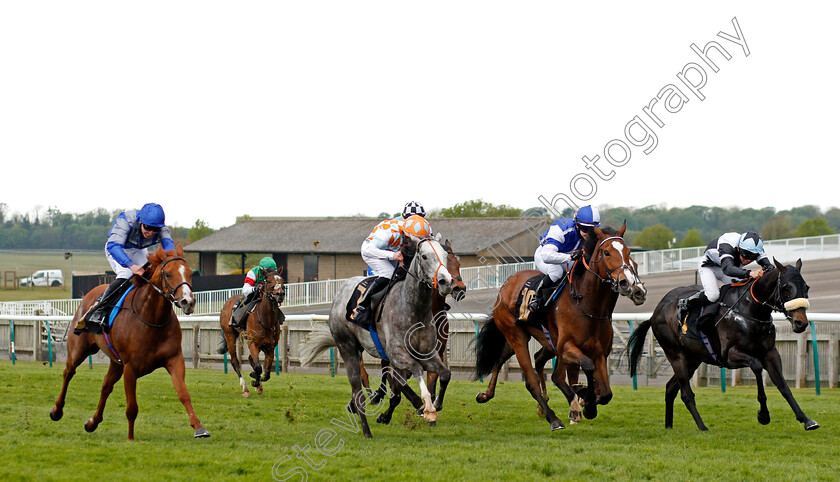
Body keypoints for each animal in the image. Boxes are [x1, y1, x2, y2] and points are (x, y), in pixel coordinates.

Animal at [49, 247, 208, 438]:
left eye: (190, 273)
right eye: (168, 274)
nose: (188, 302)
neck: (151, 317)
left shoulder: (174, 359)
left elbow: (184, 394)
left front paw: (199, 427)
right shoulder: (130, 368)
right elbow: (132, 407)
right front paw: (131, 438)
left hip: (116, 362)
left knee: (106, 386)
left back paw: (93, 423)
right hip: (79, 349)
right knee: (68, 372)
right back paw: (57, 411)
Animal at [218, 270, 288, 398]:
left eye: (282, 280)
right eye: (268, 281)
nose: (280, 293)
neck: (266, 320)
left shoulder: (270, 346)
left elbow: (266, 371)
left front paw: (257, 381)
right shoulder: (253, 343)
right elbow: (258, 367)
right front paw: (255, 381)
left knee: (251, 359)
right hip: (229, 335)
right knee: (235, 362)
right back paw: (245, 388)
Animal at [298, 235, 450, 438]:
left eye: (445, 254)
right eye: (424, 256)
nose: (445, 282)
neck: (413, 308)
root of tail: (340, 292)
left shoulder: (427, 354)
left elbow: (445, 374)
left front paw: (435, 404)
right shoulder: (398, 354)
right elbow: (416, 370)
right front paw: (428, 408)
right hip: (347, 348)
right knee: (358, 392)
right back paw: (366, 431)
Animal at [476, 224, 648, 432]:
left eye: (629, 253)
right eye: (607, 252)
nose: (631, 286)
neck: (588, 307)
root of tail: (506, 284)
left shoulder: (599, 353)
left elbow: (606, 392)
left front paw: (586, 402)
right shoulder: (566, 348)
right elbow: (581, 369)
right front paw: (585, 402)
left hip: (532, 339)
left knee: (509, 358)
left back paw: (487, 395)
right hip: (516, 336)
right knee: (531, 380)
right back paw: (553, 418)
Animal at [632, 258, 820, 432]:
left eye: (807, 287)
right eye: (787, 287)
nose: (801, 323)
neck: (750, 310)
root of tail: (655, 313)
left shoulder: (770, 353)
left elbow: (783, 386)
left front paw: (806, 420)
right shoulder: (730, 355)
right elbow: (756, 366)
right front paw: (764, 415)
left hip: (693, 359)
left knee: (671, 388)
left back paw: (669, 426)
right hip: (676, 355)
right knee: (686, 393)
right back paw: (702, 427)